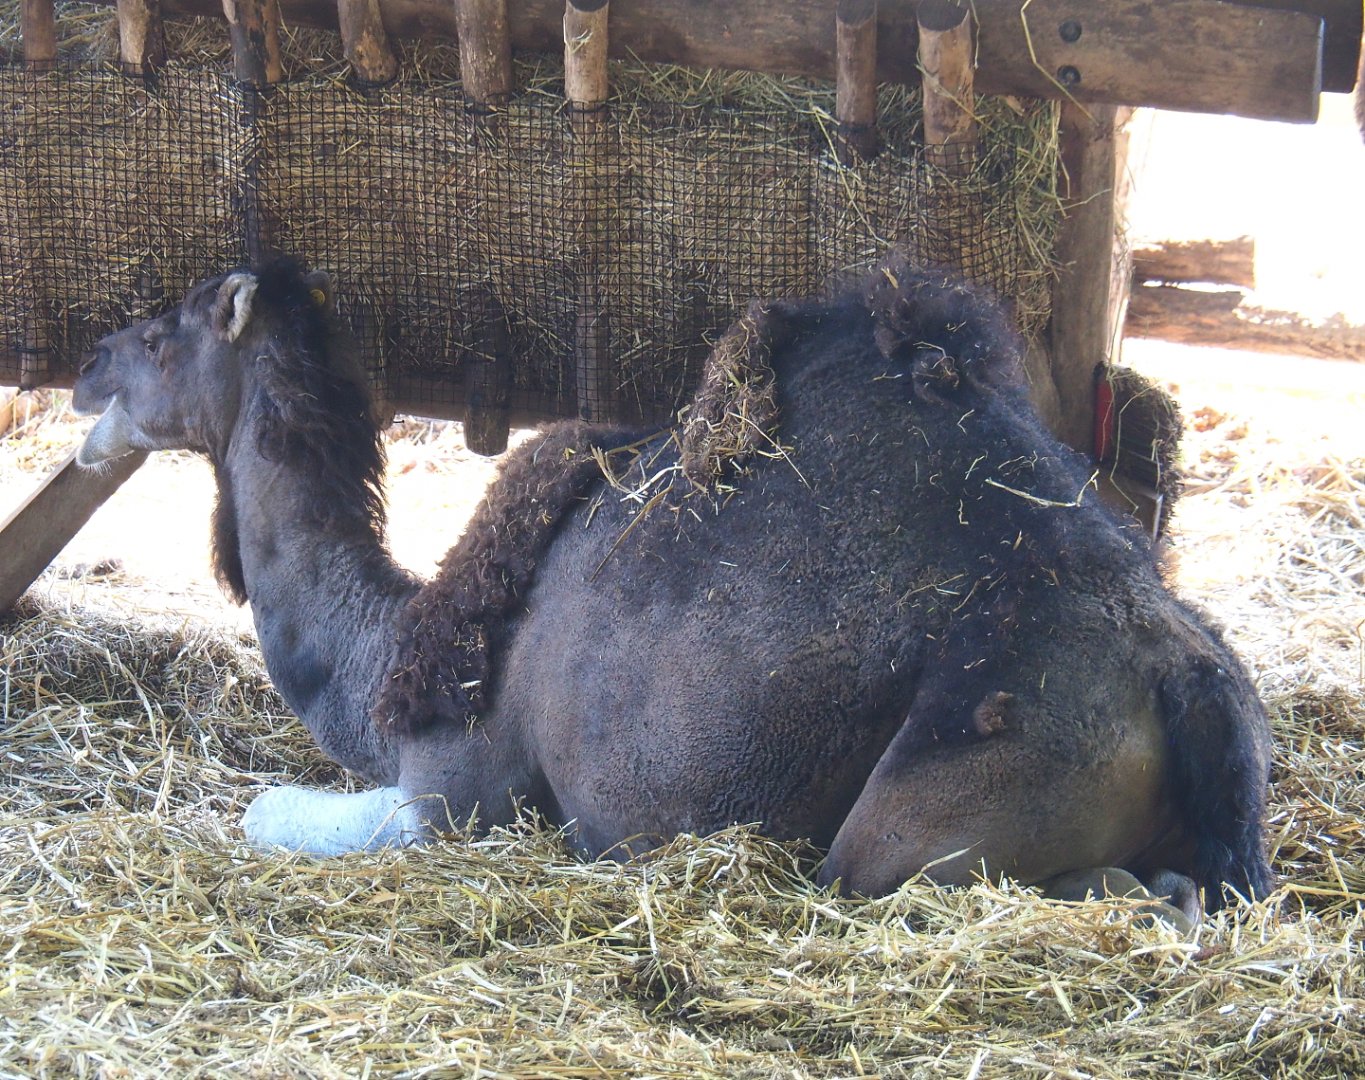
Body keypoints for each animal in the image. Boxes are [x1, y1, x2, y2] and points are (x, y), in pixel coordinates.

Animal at [72, 256, 1273, 924]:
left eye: (157, 335)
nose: (87, 371)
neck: (394, 651)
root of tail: (1189, 681)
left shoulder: (455, 794)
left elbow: (262, 815)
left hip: (952, 797)